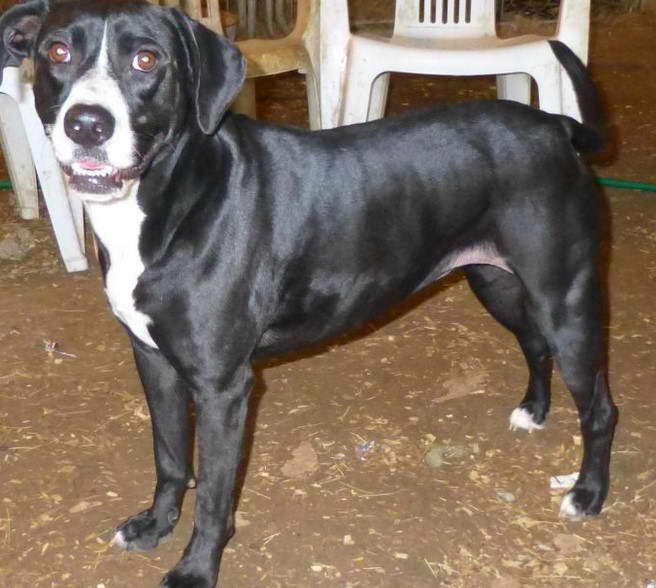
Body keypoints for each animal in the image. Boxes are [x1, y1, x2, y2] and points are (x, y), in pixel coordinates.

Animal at [0, 1, 616, 588]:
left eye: (147, 60)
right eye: (56, 51)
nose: (87, 125)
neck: (172, 195)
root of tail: (556, 125)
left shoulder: (223, 387)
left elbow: (216, 498)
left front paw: (196, 570)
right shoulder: (154, 361)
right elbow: (171, 458)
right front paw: (154, 526)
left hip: (565, 299)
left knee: (601, 407)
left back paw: (587, 495)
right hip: (498, 281)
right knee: (534, 343)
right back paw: (534, 411)